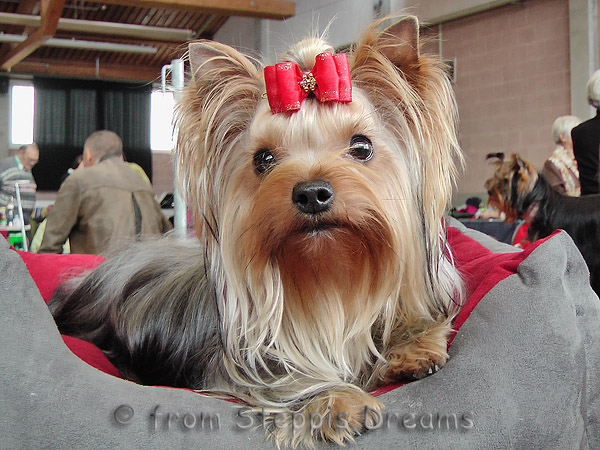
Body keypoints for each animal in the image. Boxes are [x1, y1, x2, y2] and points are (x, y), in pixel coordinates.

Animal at [49, 16, 464, 447]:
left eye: (362, 147)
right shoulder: (243, 369)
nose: (311, 193)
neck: (328, 282)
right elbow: (286, 384)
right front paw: (332, 401)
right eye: (263, 158)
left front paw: (413, 348)